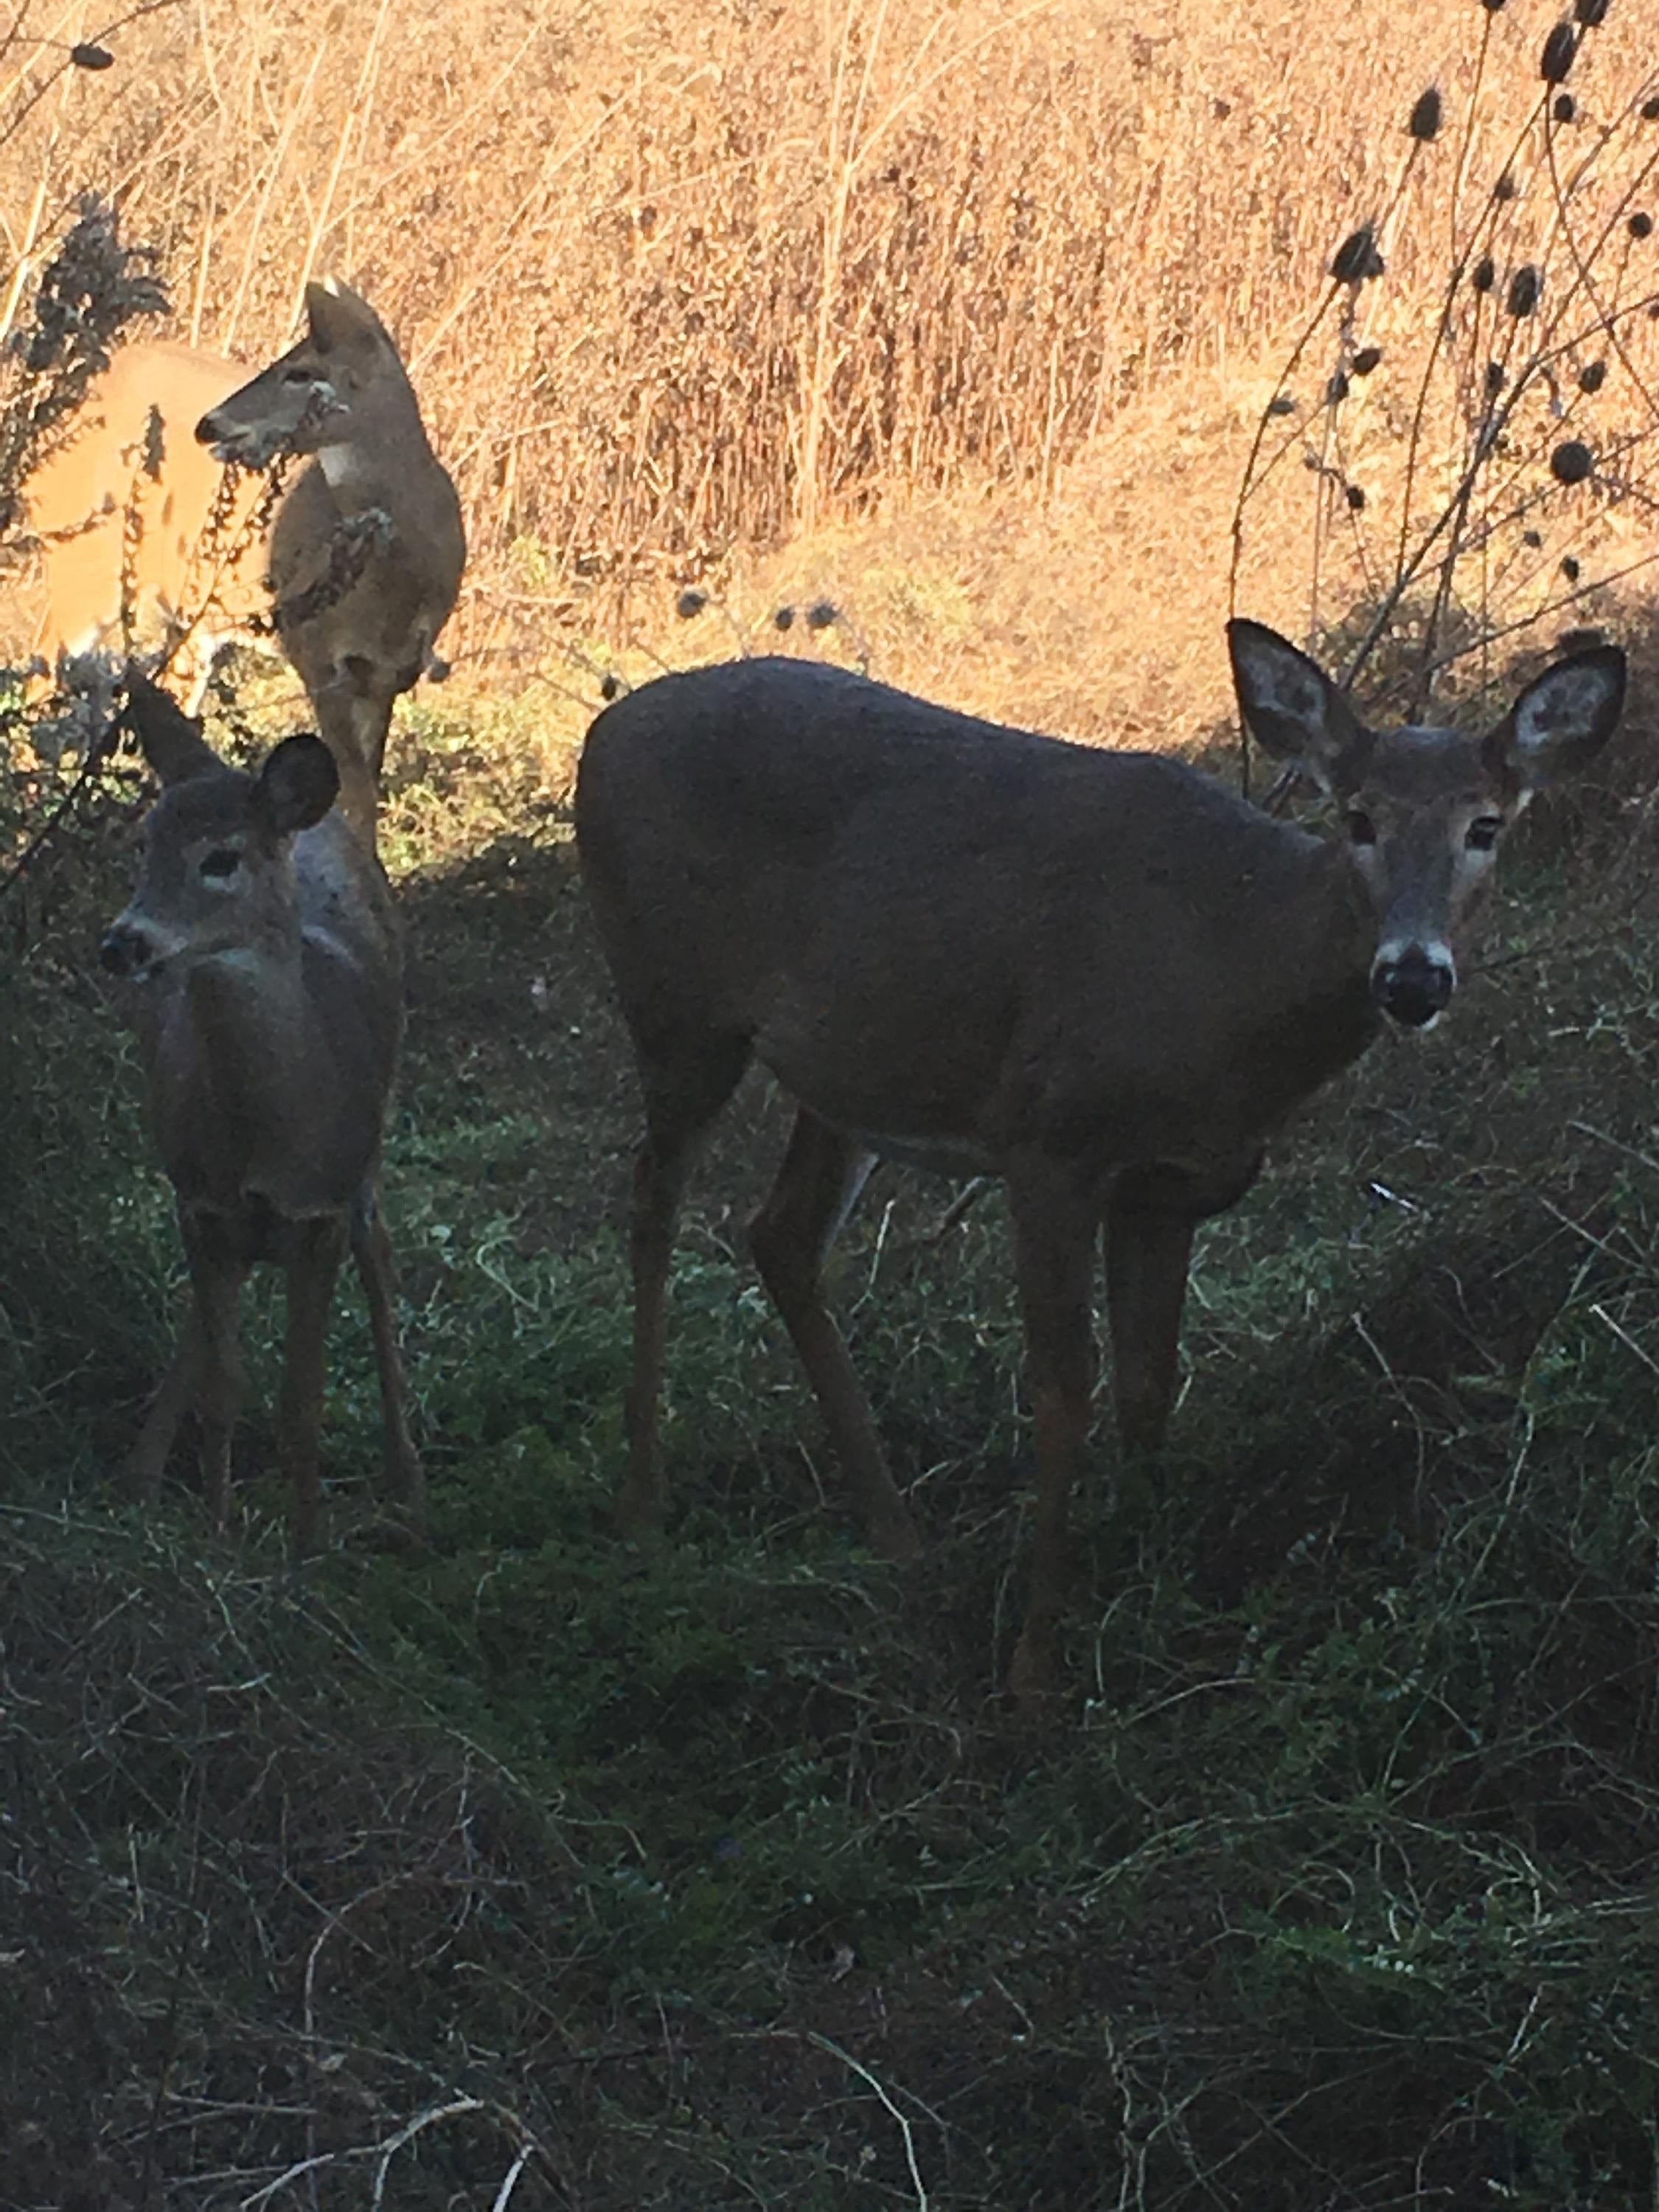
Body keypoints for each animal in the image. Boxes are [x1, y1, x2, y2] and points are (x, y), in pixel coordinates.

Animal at [100, 672, 425, 1557]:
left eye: (221, 860)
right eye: (143, 845)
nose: (122, 944)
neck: (268, 1136)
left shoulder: (321, 1209)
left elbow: (301, 1403)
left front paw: (305, 1551)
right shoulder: (199, 1202)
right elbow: (227, 1388)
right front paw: (218, 1538)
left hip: (375, 1139)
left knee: (382, 1256)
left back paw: (405, 1467)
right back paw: (140, 1471)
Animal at [197, 281, 469, 849]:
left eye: (301, 372)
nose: (206, 425)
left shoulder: (390, 674)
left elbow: (367, 794)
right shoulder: (317, 659)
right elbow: (353, 796)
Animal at [580, 633, 1628, 1699]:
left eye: (1486, 825)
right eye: (1357, 818)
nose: (1411, 977)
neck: (1230, 972)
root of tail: (606, 727)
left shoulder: (1171, 1188)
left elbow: (1149, 1384)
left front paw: (1144, 1582)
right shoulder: (1049, 1142)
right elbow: (1063, 1387)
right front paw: (1037, 1662)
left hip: (851, 1067)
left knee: (782, 1235)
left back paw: (893, 1529)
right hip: (674, 1007)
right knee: (652, 1204)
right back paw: (640, 1504)